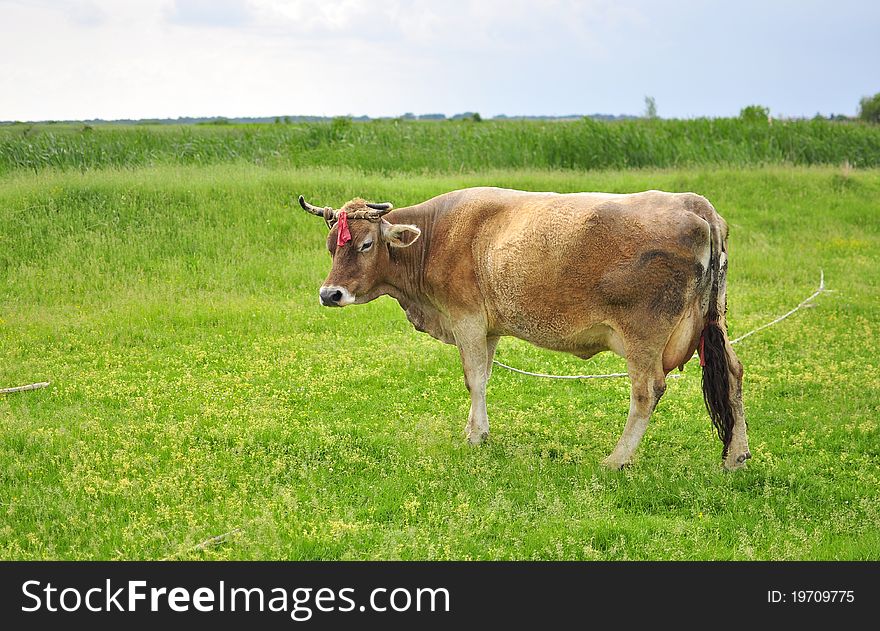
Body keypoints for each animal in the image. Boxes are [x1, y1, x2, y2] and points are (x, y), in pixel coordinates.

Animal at [300, 188, 752, 470]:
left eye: (365, 245)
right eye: (331, 246)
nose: (330, 293)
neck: (437, 234)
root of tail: (696, 205)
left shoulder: (466, 320)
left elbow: (473, 379)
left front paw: (475, 436)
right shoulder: (488, 329)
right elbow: (484, 377)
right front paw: (476, 429)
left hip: (644, 337)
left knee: (647, 392)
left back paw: (617, 459)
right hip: (714, 325)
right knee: (733, 373)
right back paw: (736, 456)